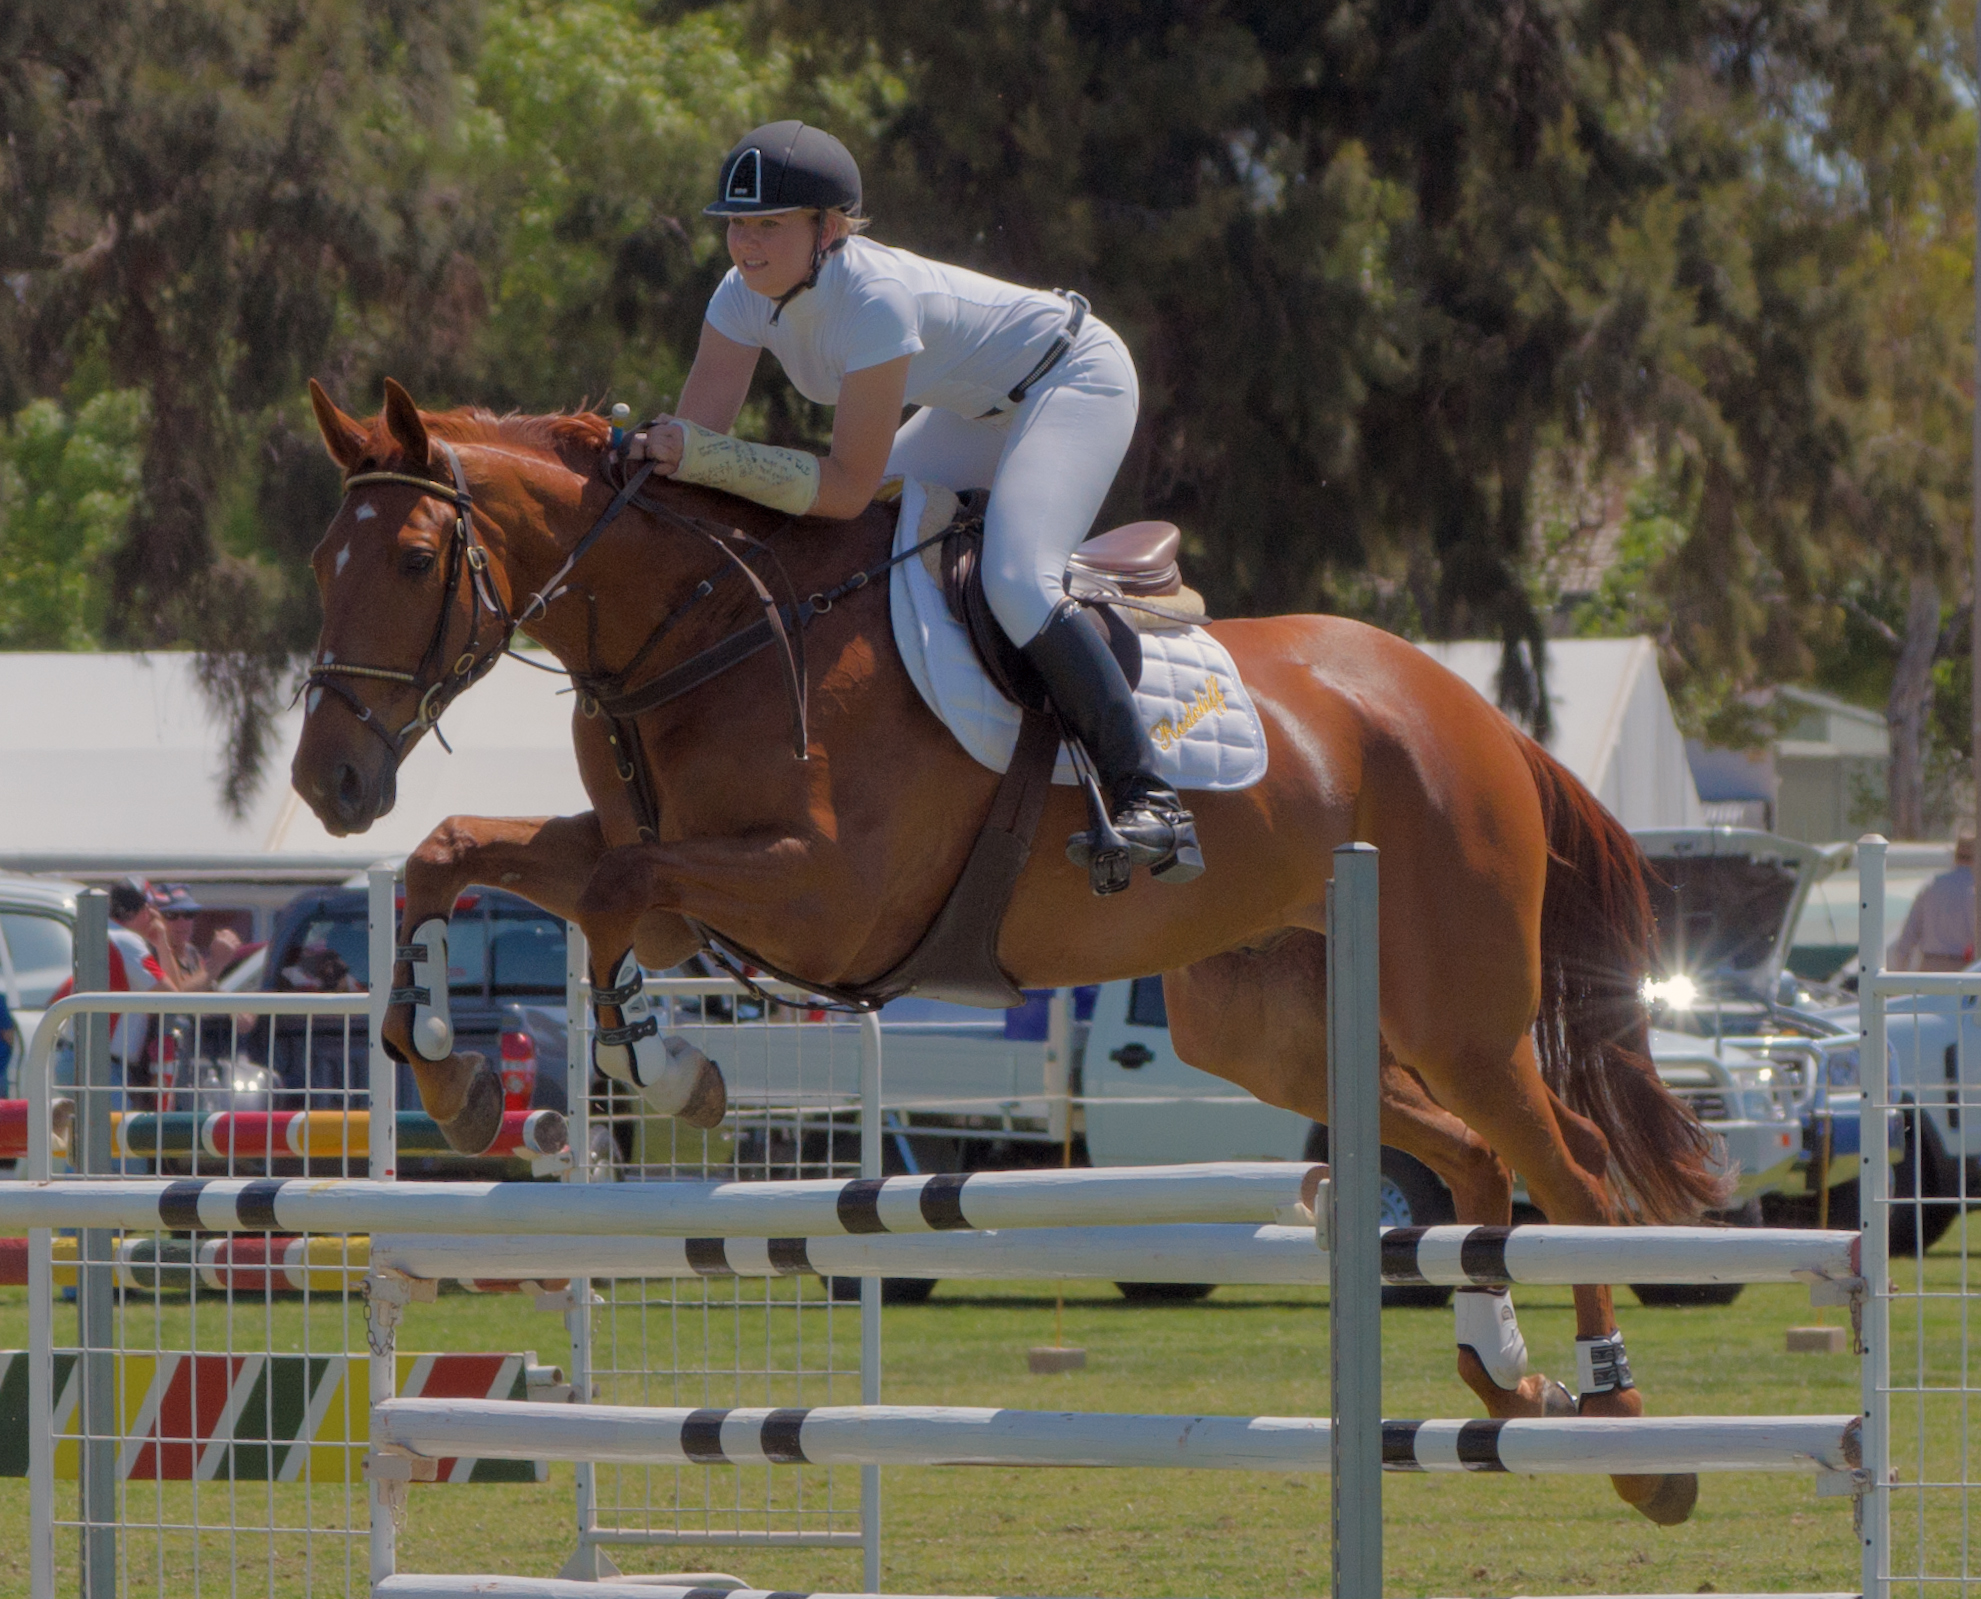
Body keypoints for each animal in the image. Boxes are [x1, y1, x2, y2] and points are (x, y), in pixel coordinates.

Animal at [289, 374, 1719, 1529]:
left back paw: (1629, 1436)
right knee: (1471, 1157)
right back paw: (1503, 1372)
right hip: (1266, 1026)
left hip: (1453, 1008)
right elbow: (467, 852)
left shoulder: (828, 894)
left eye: (411, 557)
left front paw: (667, 1061)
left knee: (1569, 1166)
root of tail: (1468, 712)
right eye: (323, 563)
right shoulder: (668, 860)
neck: (702, 630)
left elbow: (617, 897)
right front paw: (451, 1070)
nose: (328, 783)